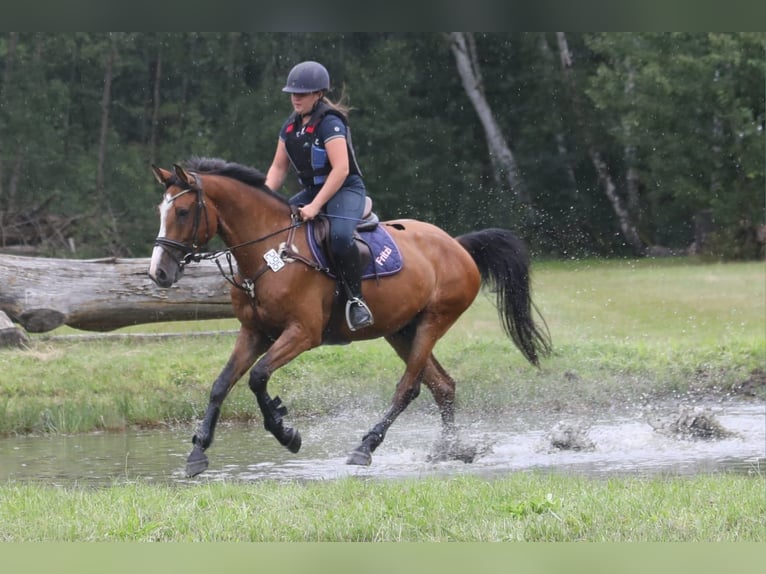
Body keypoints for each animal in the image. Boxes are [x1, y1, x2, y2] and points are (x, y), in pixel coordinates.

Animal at [147, 158, 548, 476]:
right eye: (160, 213)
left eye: (182, 212)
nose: (159, 273)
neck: (268, 254)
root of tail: (457, 245)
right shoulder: (254, 332)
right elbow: (221, 384)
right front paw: (198, 452)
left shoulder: (302, 333)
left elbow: (258, 377)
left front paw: (286, 432)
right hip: (401, 330)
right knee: (442, 386)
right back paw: (450, 450)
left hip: (434, 320)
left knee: (409, 387)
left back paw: (366, 447)